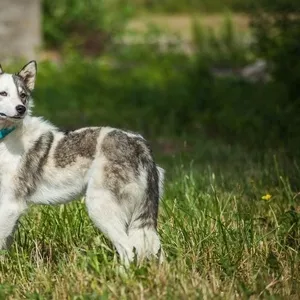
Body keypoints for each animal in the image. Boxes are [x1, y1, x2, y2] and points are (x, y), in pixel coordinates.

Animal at [0, 61, 164, 264]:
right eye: (3, 93)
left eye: (23, 95)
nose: (21, 108)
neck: (6, 136)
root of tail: (139, 143)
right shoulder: (11, 208)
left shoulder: (11, 203)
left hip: (99, 206)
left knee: (129, 250)